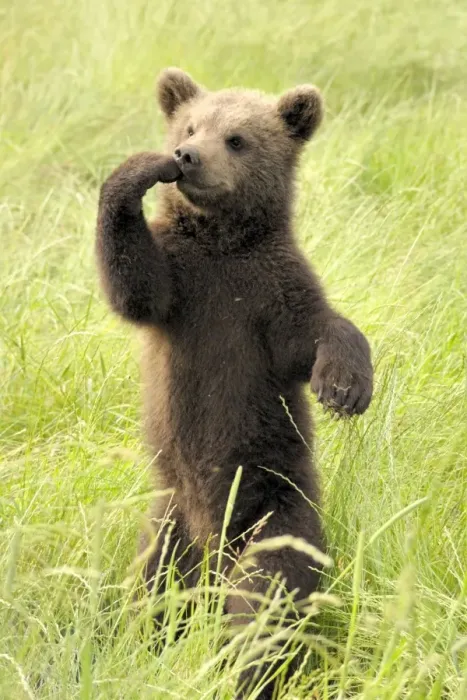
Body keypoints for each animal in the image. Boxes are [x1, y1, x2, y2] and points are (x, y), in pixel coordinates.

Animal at [96, 68, 373, 699]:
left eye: (238, 138)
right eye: (190, 126)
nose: (188, 156)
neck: (222, 243)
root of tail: (212, 545)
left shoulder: (269, 293)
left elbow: (319, 330)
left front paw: (344, 388)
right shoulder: (181, 287)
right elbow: (134, 283)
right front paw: (138, 170)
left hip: (275, 510)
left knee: (264, 599)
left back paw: (245, 668)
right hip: (169, 521)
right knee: (154, 591)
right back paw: (149, 644)